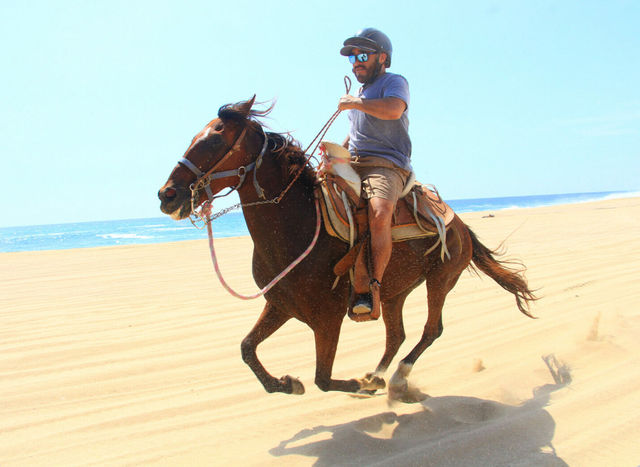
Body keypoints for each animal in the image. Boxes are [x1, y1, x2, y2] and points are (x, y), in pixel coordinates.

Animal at [159, 97, 536, 400]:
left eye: (214, 140)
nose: (167, 195)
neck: (297, 225)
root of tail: (458, 224)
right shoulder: (279, 305)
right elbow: (247, 349)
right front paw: (286, 383)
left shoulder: (327, 319)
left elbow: (322, 379)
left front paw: (354, 385)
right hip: (393, 292)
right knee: (396, 335)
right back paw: (377, 375)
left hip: (440, 280)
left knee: (431, 331)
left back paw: (394, 379)